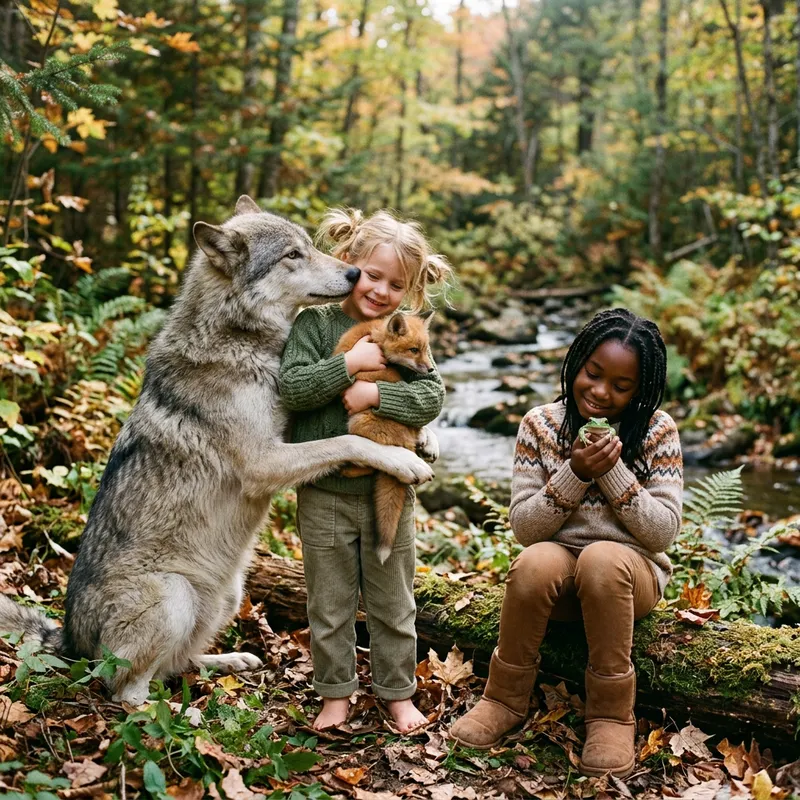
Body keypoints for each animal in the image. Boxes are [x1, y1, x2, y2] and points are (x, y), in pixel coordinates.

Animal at [333, 311, 437, 562]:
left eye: (425, 349)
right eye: (414, 350)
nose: (431, 369)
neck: (375, 335)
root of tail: (407, 441)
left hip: (357, 422)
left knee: (374, 464)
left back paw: (348, 470)